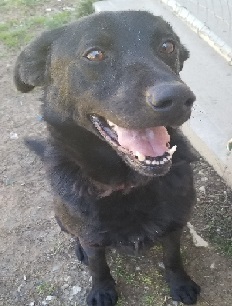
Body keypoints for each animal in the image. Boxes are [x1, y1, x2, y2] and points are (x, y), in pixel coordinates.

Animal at [14, 10, 200, 304]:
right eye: (94, 54)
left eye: (168, 46)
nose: (179, 97)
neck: (129, 183)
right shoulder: (91, 235)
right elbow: (98, 264)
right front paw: (102, 289)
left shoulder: (175, 223)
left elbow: (173, 256)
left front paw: (180, 282)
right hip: (61, 218)